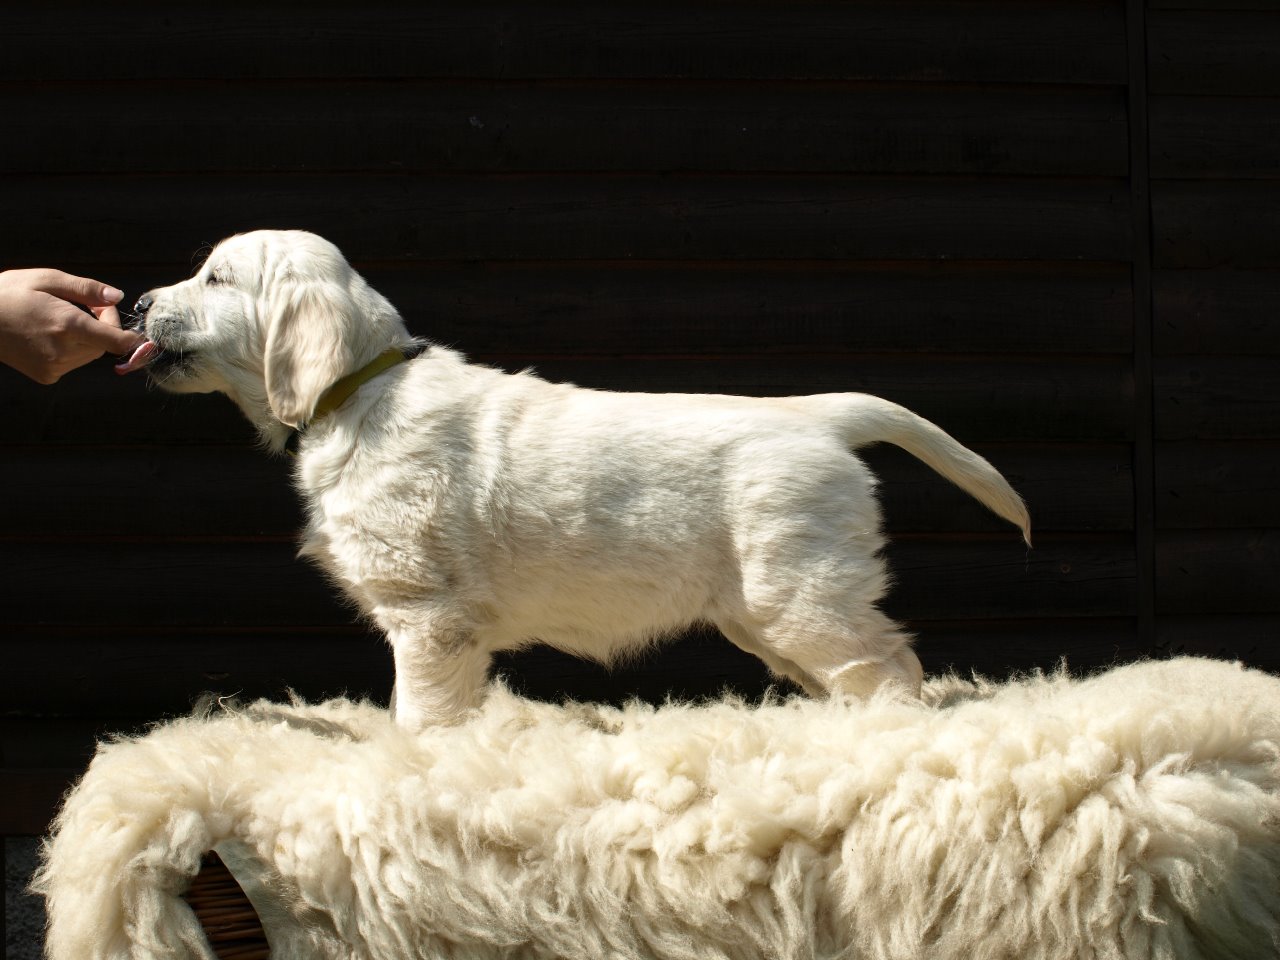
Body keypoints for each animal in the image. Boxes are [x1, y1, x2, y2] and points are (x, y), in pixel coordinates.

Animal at [119, 229, 1030, 729]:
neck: (360, 390)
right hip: (762, 612)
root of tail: (817, 416)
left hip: (801, 590)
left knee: (889, 668)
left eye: (214, 279)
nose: (133, 303)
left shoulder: (427, 614)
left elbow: (419, 711)